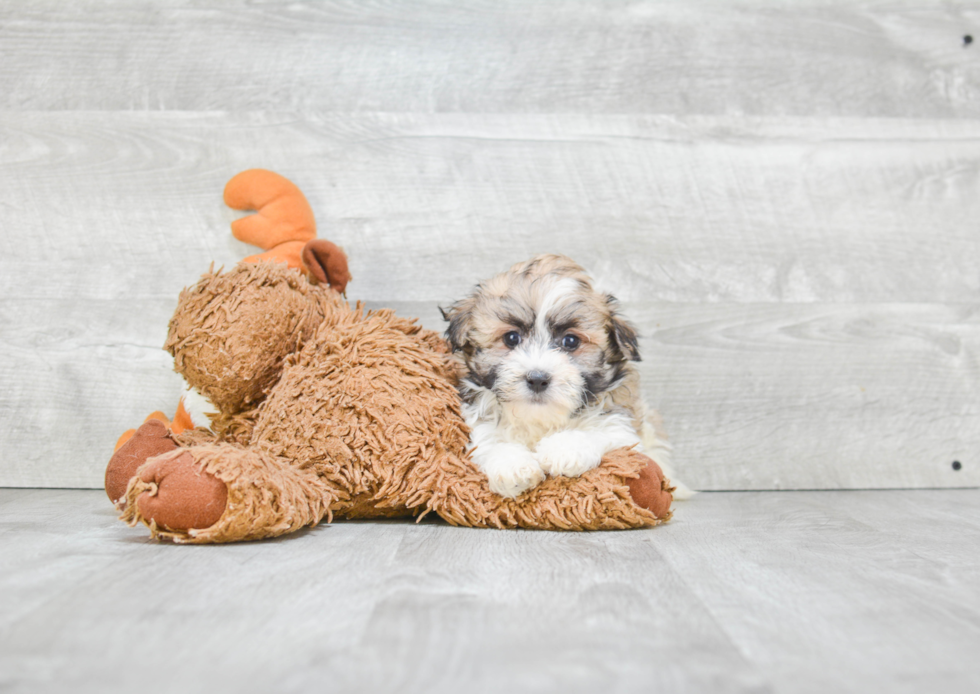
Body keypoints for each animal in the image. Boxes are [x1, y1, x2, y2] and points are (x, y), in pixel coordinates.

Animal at [440, 256, 676, 500]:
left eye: (570, 341)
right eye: (512, 338)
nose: (537, 379)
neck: (541, 419)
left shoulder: (623, 428)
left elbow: (601, 432)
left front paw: (564, 449)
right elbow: (488, 440)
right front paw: (512, 465)